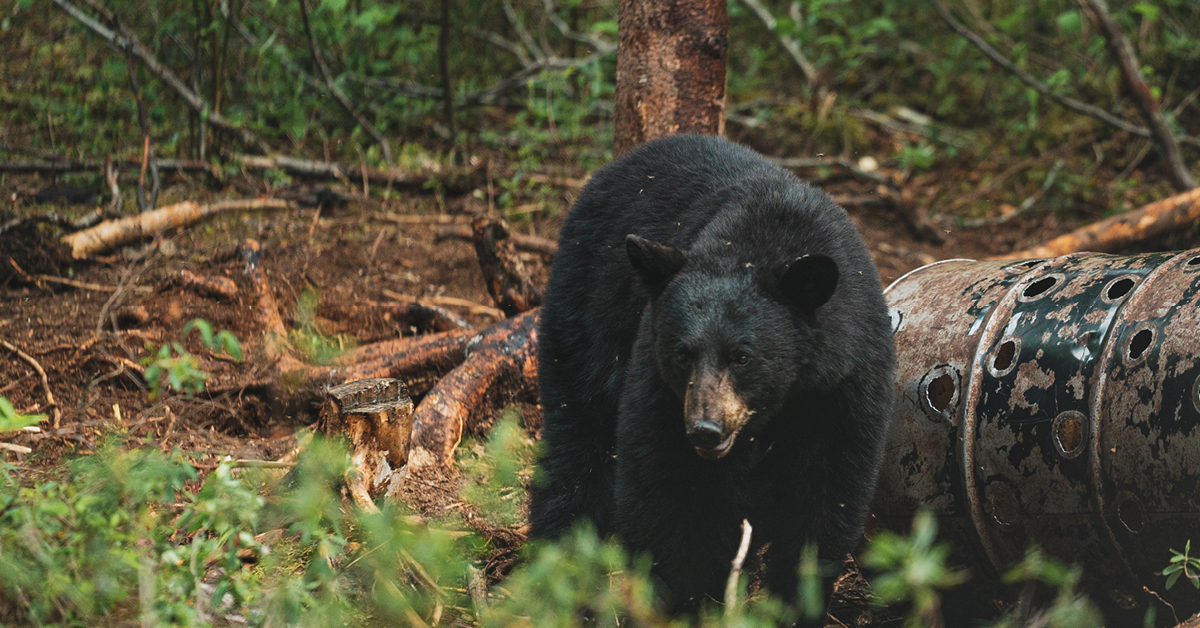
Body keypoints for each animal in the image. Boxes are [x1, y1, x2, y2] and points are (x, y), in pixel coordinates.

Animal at [530, 133, 897, 614]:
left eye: (742, 356)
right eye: (682, 354)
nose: (705, 429)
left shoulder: (842, 386)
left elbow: (823, 502)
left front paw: (791, 603)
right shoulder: (657, 384)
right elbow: (664, 493)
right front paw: (685, 603)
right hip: (587, 316)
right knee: (576, 437)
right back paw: (554, 560)